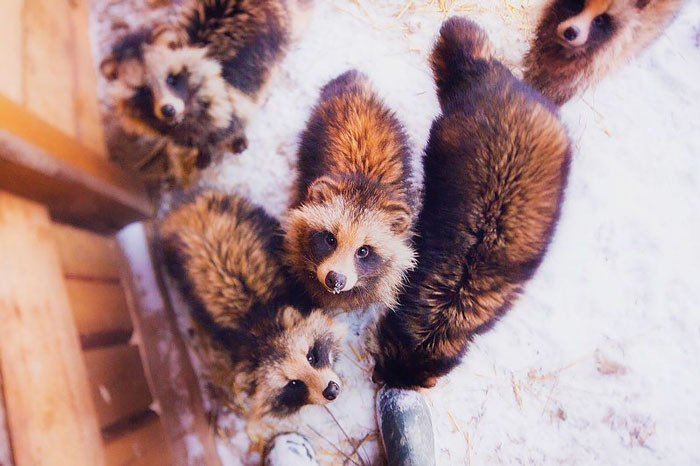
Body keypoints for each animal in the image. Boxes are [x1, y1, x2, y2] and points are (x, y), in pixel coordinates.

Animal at [100, 0, 311, 184]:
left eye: (171, 79)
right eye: (144, 91)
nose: (168, 110)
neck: (185, 116)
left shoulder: (233, 92)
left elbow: (235, 119)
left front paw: (237, 136)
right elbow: (197, 141)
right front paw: (203, 150)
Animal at [523, 0, 684, 105]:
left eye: (600, 19)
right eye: (579, 4)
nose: (570, 32)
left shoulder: (608, 53)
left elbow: (565, 83)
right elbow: (539, 56)